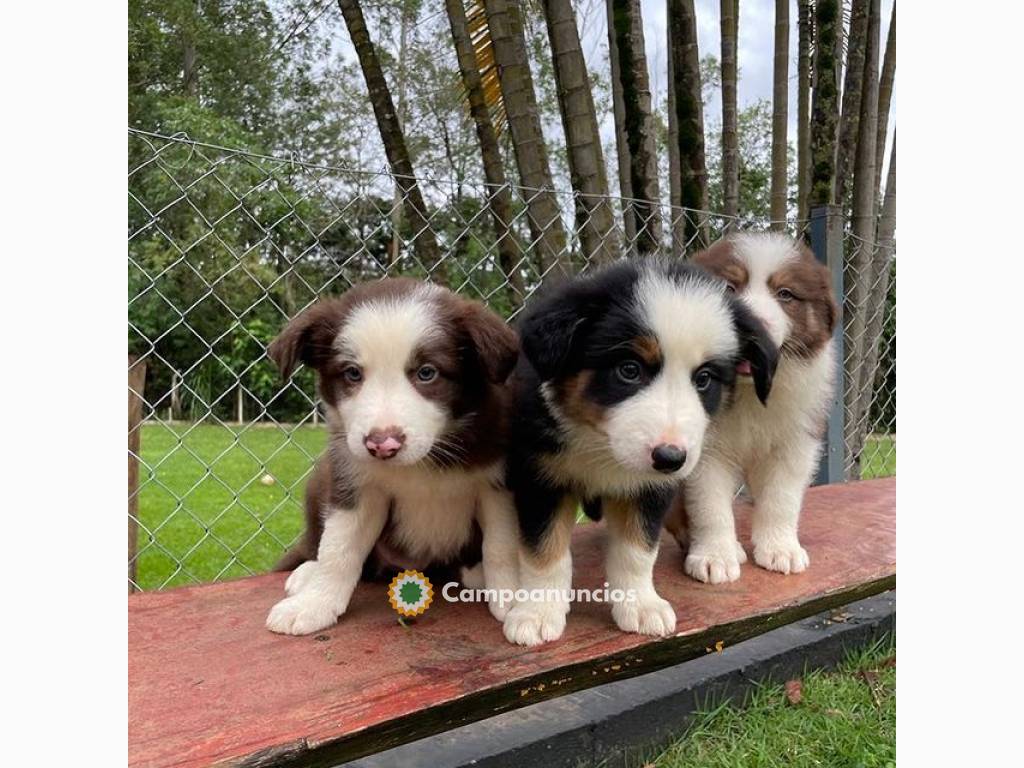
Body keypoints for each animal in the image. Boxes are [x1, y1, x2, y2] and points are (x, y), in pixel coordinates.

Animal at [266, 280, 520, 638]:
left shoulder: (497, 484)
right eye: (352, 373)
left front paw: (515, 598)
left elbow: (501, 546)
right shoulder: (356, 484)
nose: (382, 445)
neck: (422, 463)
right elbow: (338, 549)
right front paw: (314, 604)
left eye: (427, 373)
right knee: (317, 543)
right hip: (321, 478)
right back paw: (307, 573)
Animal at [501, 262, 774, 647]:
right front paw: (537, 613)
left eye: (704, 379)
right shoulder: (540, 478)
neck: (600, 445)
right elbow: (544, 552)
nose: (671, 458)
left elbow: (637, 551)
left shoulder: (650, 490)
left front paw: (642, 606)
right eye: (629, 370)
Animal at [663, 233, 839, 581]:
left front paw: (780, 549)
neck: (749, 393)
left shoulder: (795, 443)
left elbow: (781, 500)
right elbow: (708, 505)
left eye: (785, 294)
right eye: (729, 288)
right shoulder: (705, 450)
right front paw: (715, 557)